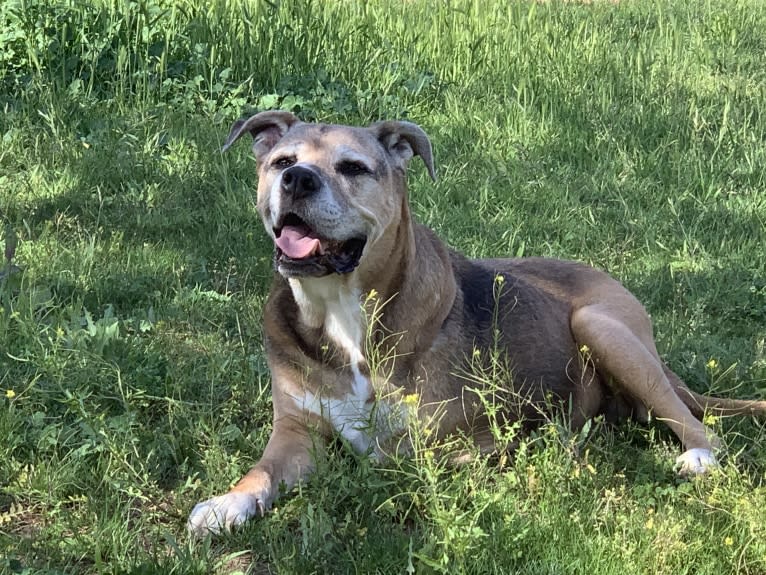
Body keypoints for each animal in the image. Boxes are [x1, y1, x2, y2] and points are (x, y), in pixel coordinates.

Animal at [188, 111, 766, 536]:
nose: (297, 178)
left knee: (698, 427)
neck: (341, 313)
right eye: (282, 160)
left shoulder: (458, 441)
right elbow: (262, 470)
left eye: (353, 168)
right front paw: (226, 503)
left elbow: (406, 456)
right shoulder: (295, 429)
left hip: (602, 327)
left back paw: (693, 456)